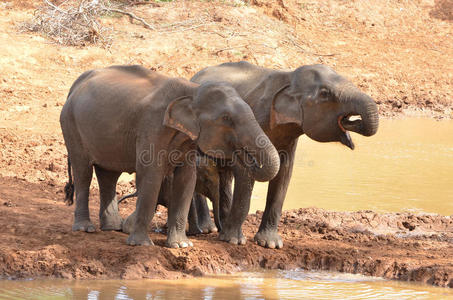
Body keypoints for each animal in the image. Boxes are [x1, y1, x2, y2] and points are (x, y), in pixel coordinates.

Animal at [59, 64, 278, 247]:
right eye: (226, 119)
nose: (248, 157)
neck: (192, 91)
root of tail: (75, 85)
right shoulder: (152, 127)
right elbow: (151, 176)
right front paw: (141, 245)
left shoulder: (188, 140)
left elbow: (187, 179)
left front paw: (181, 245)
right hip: (71, 125)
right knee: (83, 172)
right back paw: (85, 228)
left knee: (108, 175)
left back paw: (113, 227)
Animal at [189, 60, 380, 248]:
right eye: (325, 94)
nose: (354, 121)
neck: (289, 77)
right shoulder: (251, 121)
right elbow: (245, 172)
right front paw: (234, 241)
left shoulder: (288, 138)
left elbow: (284, 173)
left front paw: (270, 244)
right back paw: (208, 229)